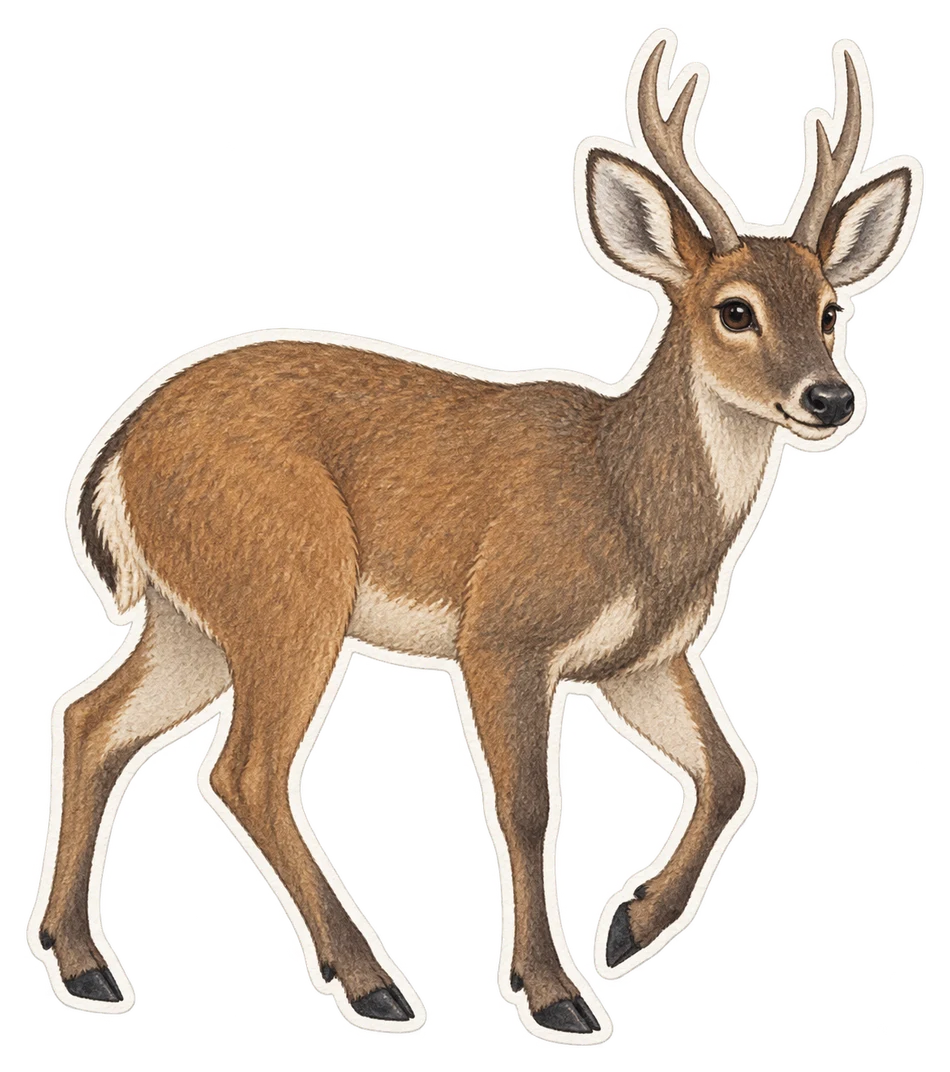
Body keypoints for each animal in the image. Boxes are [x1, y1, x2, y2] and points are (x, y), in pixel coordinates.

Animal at [30, 29, 921, 1043]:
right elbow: (530, 806)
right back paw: (371, 981)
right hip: (289, 583)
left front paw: (628, 927)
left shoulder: (643, 659)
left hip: (197, 619)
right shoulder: (505, 633)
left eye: (830, 310)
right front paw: (555, 989)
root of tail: (119, 448)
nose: (831, 397)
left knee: (93, 718)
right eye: (735, 308)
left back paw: (85, 963)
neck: (627, 502)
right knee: (245, 768)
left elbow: (732, 773)